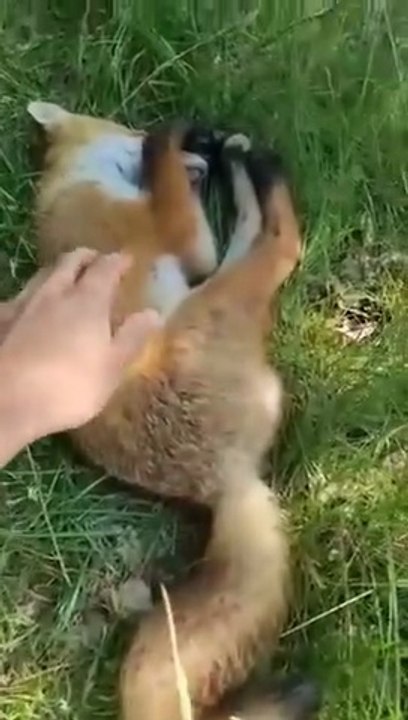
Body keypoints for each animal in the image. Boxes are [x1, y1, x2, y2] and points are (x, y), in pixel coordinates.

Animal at [27, 101, 317, 720]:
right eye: (129, 129)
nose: (202, 156)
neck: (73, 183)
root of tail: (224, 481)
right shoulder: (182, 240)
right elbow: (175, 198)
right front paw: (174, 138)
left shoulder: (184, 240)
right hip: (213, 300)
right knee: (281, 243)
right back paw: (261, 169)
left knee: (257, 236)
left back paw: (244, 163)